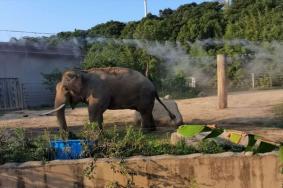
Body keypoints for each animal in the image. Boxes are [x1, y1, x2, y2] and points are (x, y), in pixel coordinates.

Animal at [47, 67, 175, 132]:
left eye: (65, 89)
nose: (70, 135)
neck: (83, 73)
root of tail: (153, 86)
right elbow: (98, 111)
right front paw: (100, 132)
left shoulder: (98, 91)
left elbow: (93, 110)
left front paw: (93, 133)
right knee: (147, 112)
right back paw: (151, 130)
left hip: (145, 95)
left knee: (144, 112)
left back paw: (144, 131)